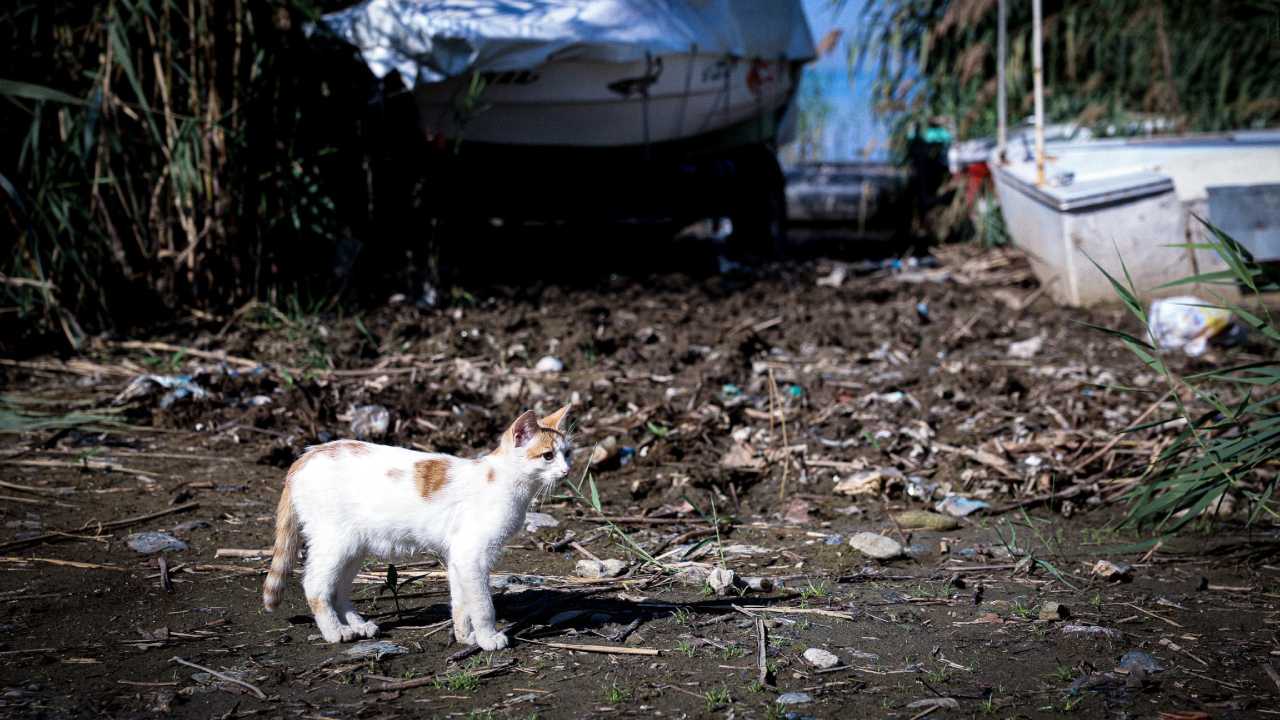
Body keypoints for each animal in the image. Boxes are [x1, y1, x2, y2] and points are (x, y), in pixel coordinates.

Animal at [262, 399, 573, 648]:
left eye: (567, 453)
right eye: (548, 456)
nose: (567, 471)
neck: (504, 481)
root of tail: (306, 455)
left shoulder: (459, 558)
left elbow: (461, 604)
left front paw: (465, 637)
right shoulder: (472, 556)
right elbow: (483, 605)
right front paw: (488, 638)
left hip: (353, 548)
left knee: (337, 589)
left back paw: (357, 625)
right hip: (335, 543)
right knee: (315, 586)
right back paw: (335, 631)